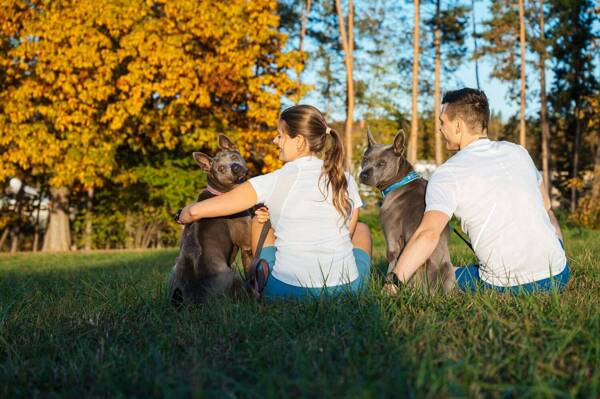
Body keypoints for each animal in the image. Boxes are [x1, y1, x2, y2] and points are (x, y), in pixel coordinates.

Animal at [168, 135, 254, 306]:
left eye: (234, 157)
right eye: (220, 169)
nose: (235, 167)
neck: (220, 192)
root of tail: (195, 299)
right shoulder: (246, 246)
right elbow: (251, 273)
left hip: (174, 270)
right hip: (234, 276)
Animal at [358, 129, 452, 294]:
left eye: (382, 163)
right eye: (365, 159)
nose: (363, 174)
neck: (399, 181)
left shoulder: (392, 238)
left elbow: (391, 264)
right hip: (448, 269)